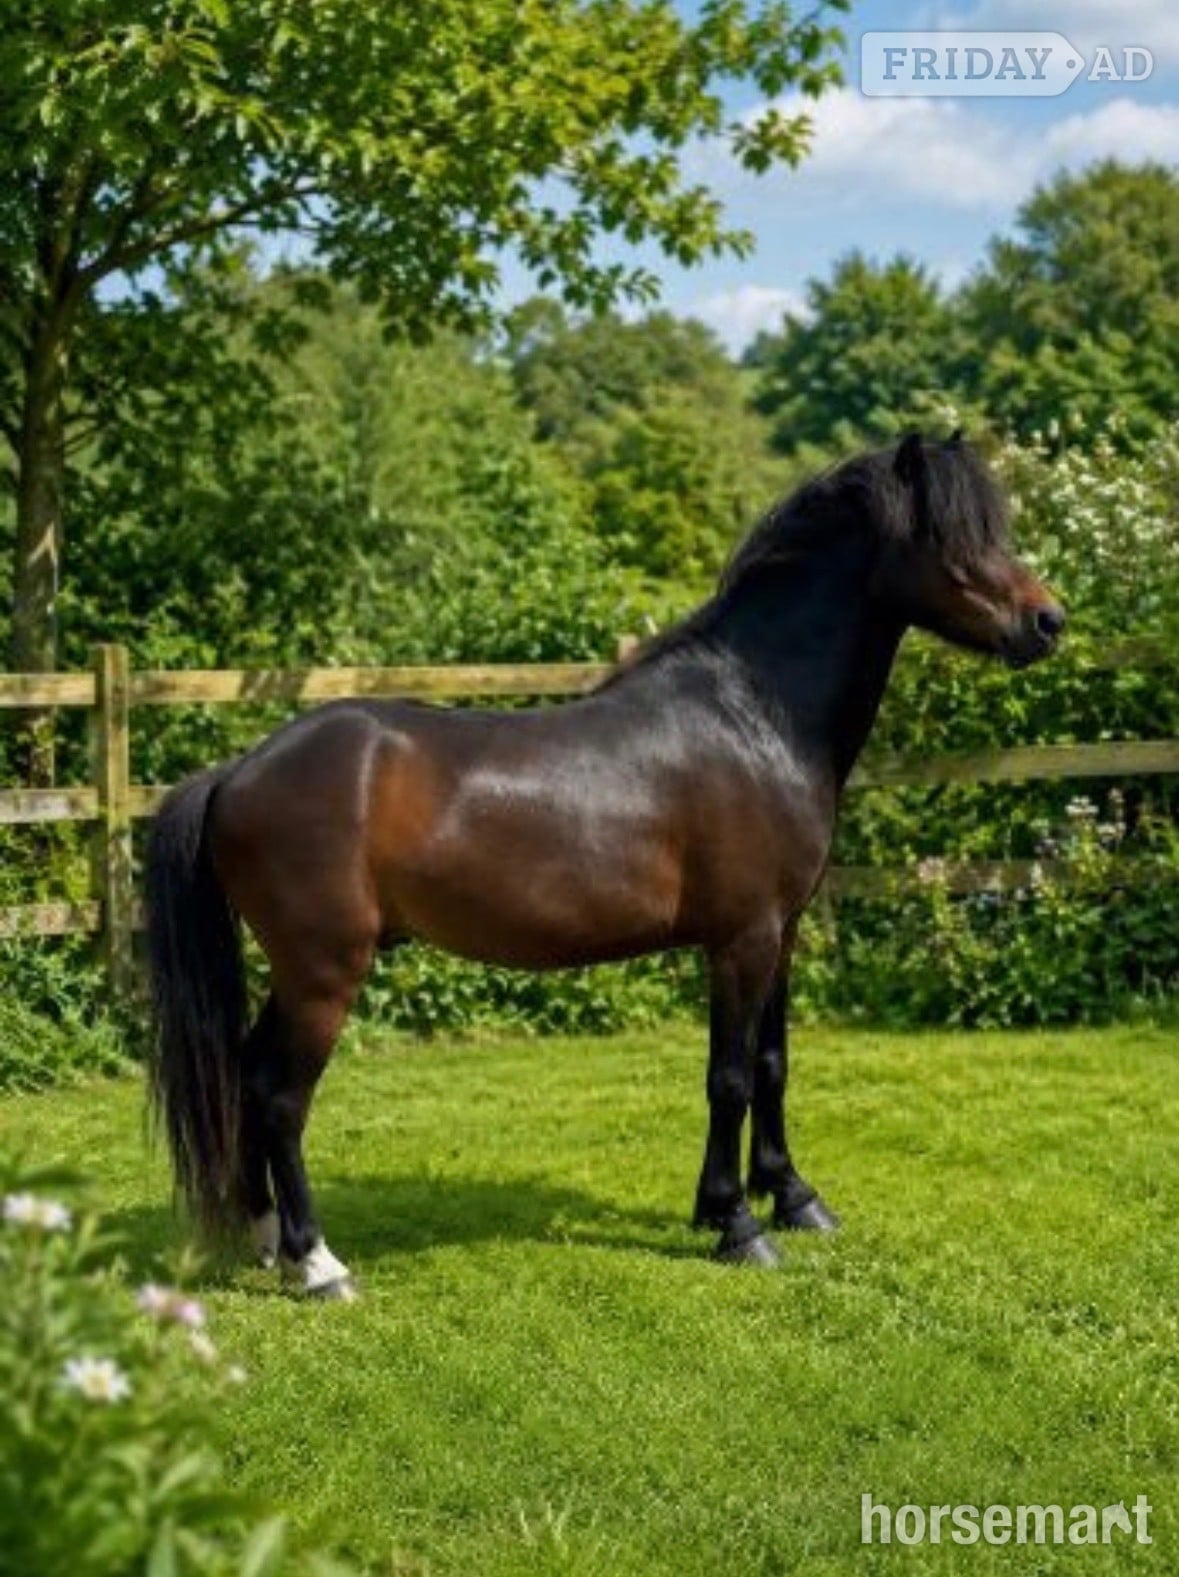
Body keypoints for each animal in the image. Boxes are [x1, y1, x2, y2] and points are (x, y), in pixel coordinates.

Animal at [145, 431, 1064, 1298]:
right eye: (952, 533)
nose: (1047, 622)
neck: (753, 716)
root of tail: (236, 771)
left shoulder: (783, 933)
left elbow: (772, 1065)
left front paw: (793, 1198)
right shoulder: (741, 940)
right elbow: (729, 1076)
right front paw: (736, 1223)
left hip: (298, 972)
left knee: (246, 1079)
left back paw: (267, 1240)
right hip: (324, 972)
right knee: (279, 1096)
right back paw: (317, 1263)